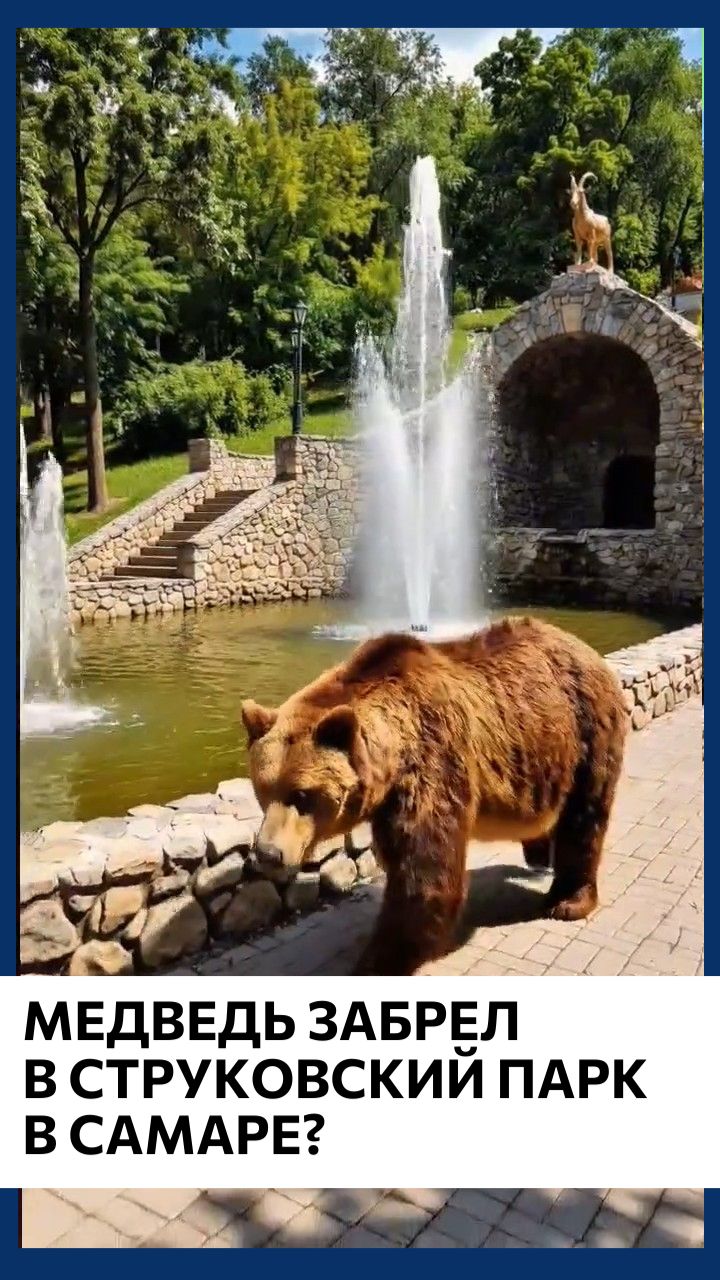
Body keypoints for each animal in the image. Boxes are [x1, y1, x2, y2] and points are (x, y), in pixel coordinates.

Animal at [241, 616, 627, 976]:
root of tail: (585, 648)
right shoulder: (389, 800)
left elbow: (425, 873)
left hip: (586, 730)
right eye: (263, 789)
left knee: (584, 818)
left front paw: (377, 960)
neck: (392, 754)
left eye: (302, 794)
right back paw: (538, 853)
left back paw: (568, 902)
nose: (268, 853)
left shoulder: (434, 761)